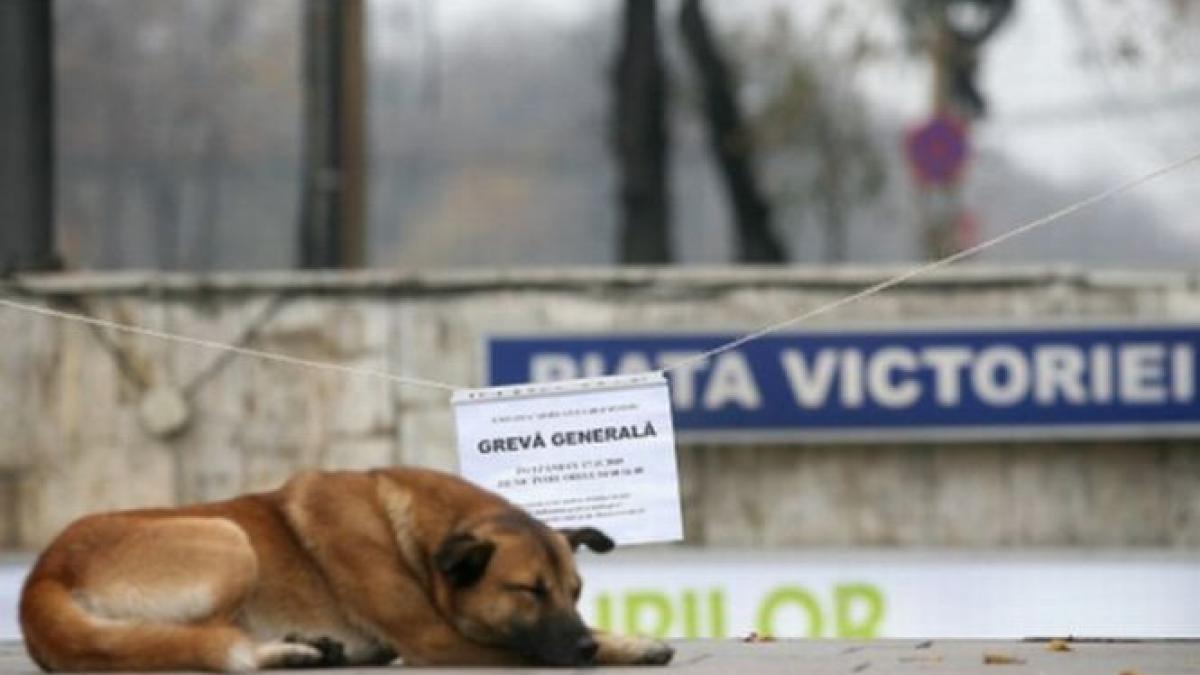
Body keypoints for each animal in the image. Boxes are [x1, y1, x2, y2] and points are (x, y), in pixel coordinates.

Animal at [18, 468, 676, 667]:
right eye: (529, 592)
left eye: (574, 591)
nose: (583, 647)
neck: (410, 535)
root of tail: (41, 576)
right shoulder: (438, 641)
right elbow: (528, 655)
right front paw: (614, 649)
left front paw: (631, 642)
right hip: (229, 538)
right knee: (205, 643)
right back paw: (283, 652)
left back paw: (305, 649)